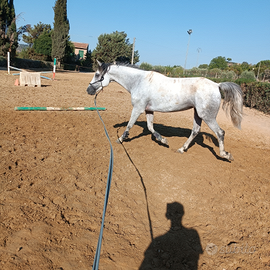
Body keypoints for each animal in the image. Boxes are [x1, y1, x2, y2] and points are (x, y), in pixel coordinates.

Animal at [87, 61, 244, 160]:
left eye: (97, 74)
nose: (88, 90)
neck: (139, 81)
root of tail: (217, 85)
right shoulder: (148, 110)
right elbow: (150, 127)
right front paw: (163, 140)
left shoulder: (138, 108)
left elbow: (129, 125)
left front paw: (120, 139)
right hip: (197, 114)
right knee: (195, 131)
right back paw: (181, 149)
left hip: (208, 116)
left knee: (220, 132)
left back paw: (226, 155)